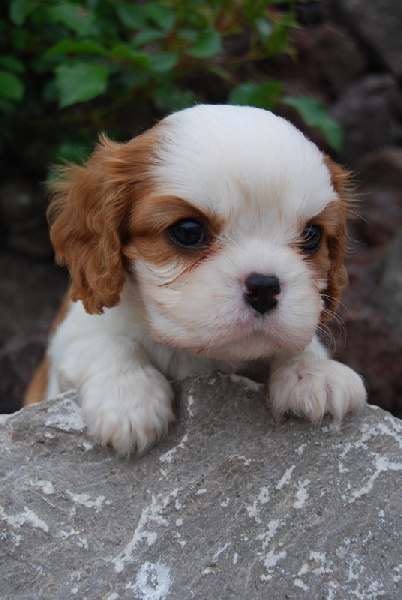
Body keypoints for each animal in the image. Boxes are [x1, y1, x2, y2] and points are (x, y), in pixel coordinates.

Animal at [27, 106, 368, 454]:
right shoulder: (67, 343)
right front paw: (128, 399)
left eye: (311, 236)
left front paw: (315, 373)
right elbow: (107, 343)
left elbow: (300, 339)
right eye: (188, 231)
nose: (264, 287)